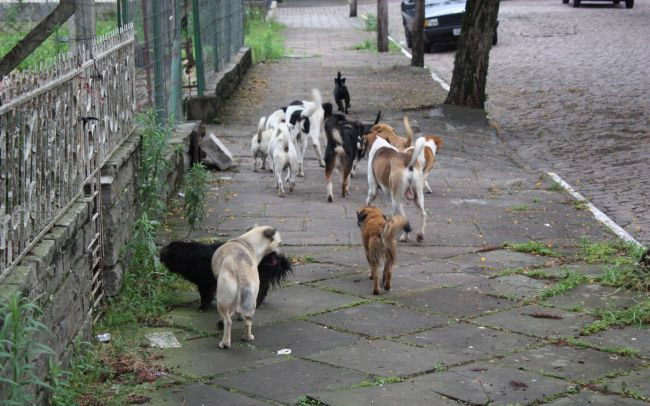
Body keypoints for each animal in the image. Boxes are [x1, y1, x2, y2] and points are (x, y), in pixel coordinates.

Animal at [159, 241, 292, 310]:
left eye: (168, 251)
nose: (159, 251)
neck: (192, 257)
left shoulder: (205, 283)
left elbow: (205, 296)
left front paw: (202, 307)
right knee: (263, 289)